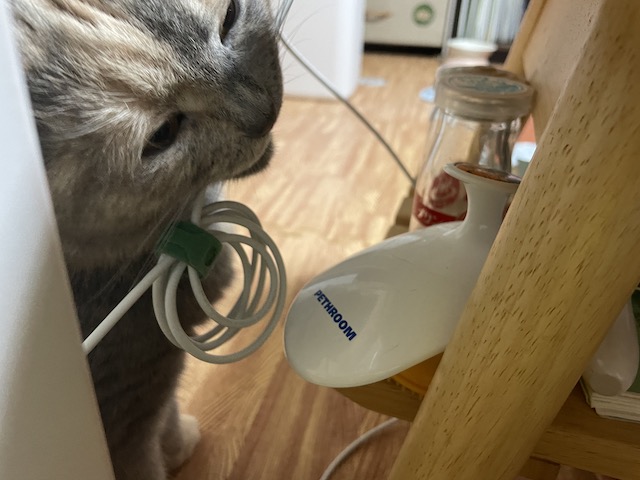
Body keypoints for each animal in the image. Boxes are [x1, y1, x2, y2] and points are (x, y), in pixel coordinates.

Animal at [11, 0, 283, 478]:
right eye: (162, 135)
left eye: (231, 18)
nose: (263, 113)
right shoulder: (128, 411)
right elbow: (150, 443)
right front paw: (180, 445)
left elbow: (168, 415)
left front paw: (178, 444)